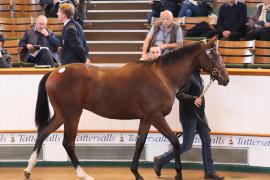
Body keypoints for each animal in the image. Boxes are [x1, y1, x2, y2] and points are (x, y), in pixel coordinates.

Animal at [24, 37, 229, 179]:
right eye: (214, 55)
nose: (226, 79)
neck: (162, 76)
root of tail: (56, 70)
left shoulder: (146, 118)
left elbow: (140, 143)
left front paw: (136, 173)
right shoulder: (156, 117)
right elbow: (175, 141)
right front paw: (178, 173)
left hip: (61, 114)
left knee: (43, 132)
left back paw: (28, 169)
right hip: (72, 114)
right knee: (68, 142)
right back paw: (84, 174)